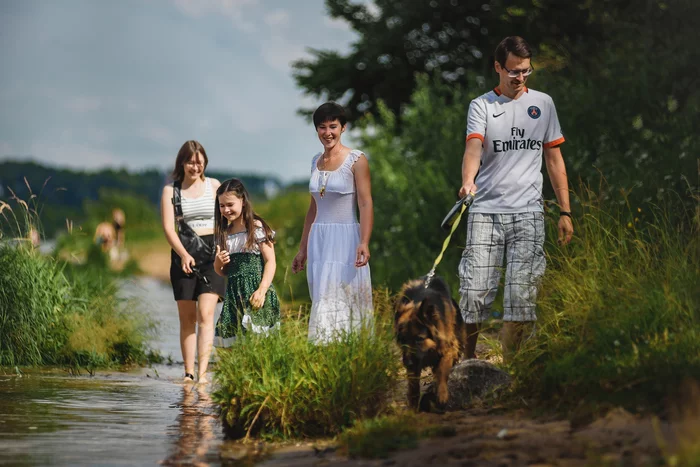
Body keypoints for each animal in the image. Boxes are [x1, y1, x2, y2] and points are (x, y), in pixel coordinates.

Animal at [394, 276, 464, 412]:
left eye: (419, 339)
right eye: (402, 339)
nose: (407, 363)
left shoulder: (449, 350)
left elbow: (442, 371)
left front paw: (442, 396)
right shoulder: (413, 365)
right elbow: (413, 386)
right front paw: (413, 407)